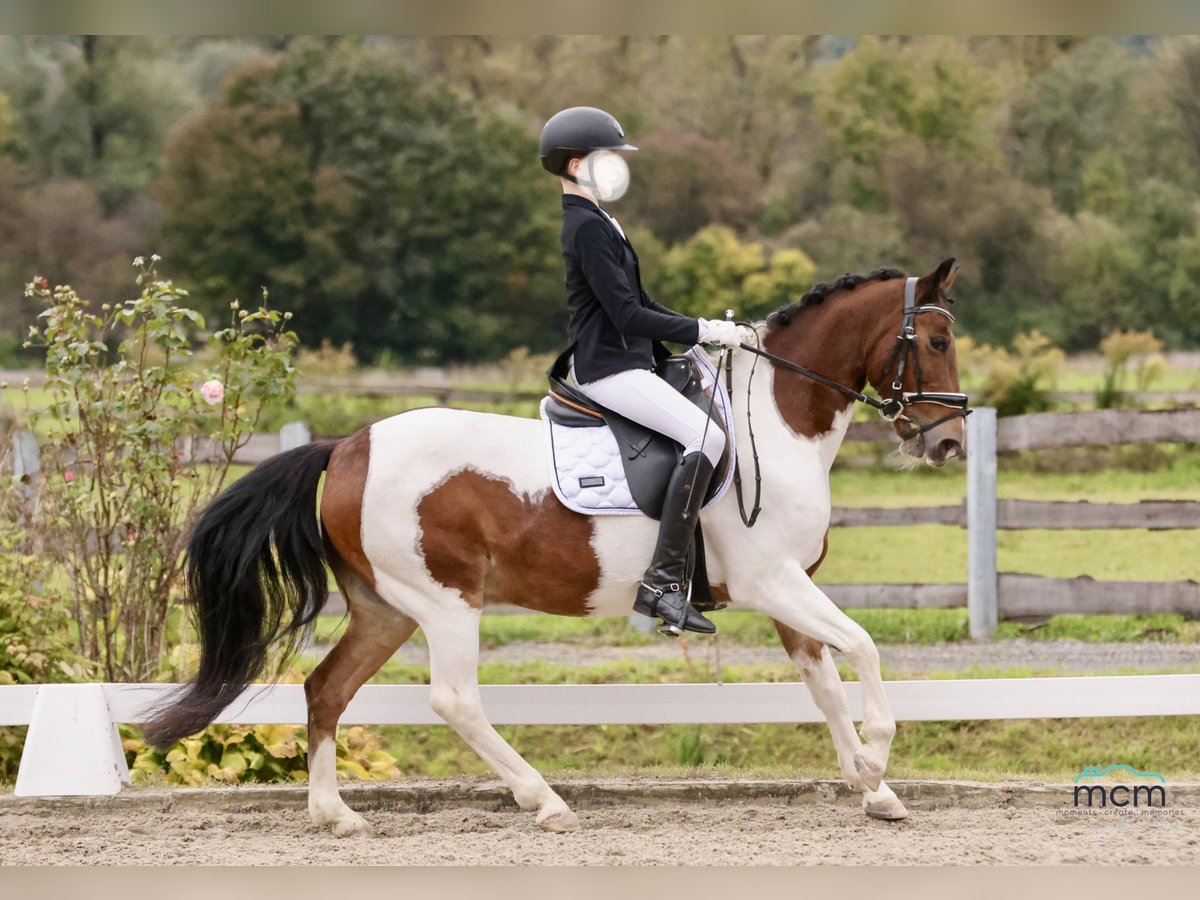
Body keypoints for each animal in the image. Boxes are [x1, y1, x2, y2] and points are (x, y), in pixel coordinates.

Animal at [144, 258, 967, 836]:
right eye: (935, 340)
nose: (950, 442)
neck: (776, 418)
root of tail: (347, 446)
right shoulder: (772, 580)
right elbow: (863, 649)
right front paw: (877, 758)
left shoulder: (788, 589)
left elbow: (824, 682)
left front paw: (874, 789)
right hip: (446, 602)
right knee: (452, 699)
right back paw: (543, 800)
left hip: (386, 609)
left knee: (326, 690)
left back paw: (335, 814)